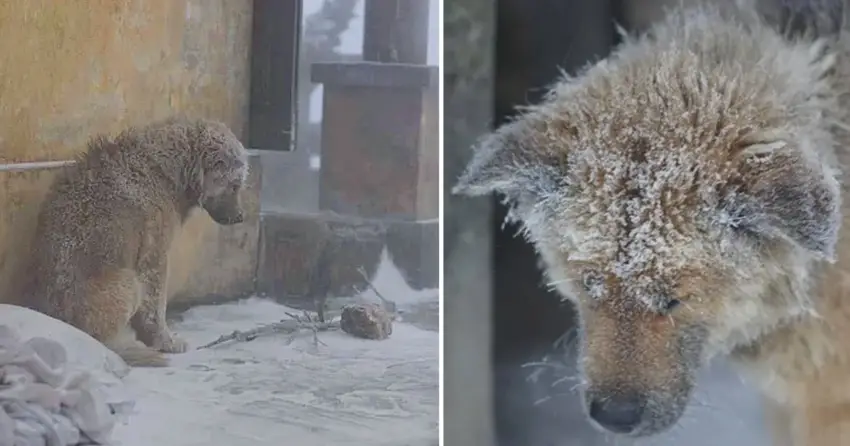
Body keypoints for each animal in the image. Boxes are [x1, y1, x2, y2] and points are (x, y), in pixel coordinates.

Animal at [24, 116, 248, 368]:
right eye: (234, 185)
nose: (241, 216)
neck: (167, 171)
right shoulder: (154, 256)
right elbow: (155, 306)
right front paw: (165, 342)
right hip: (127, 281)